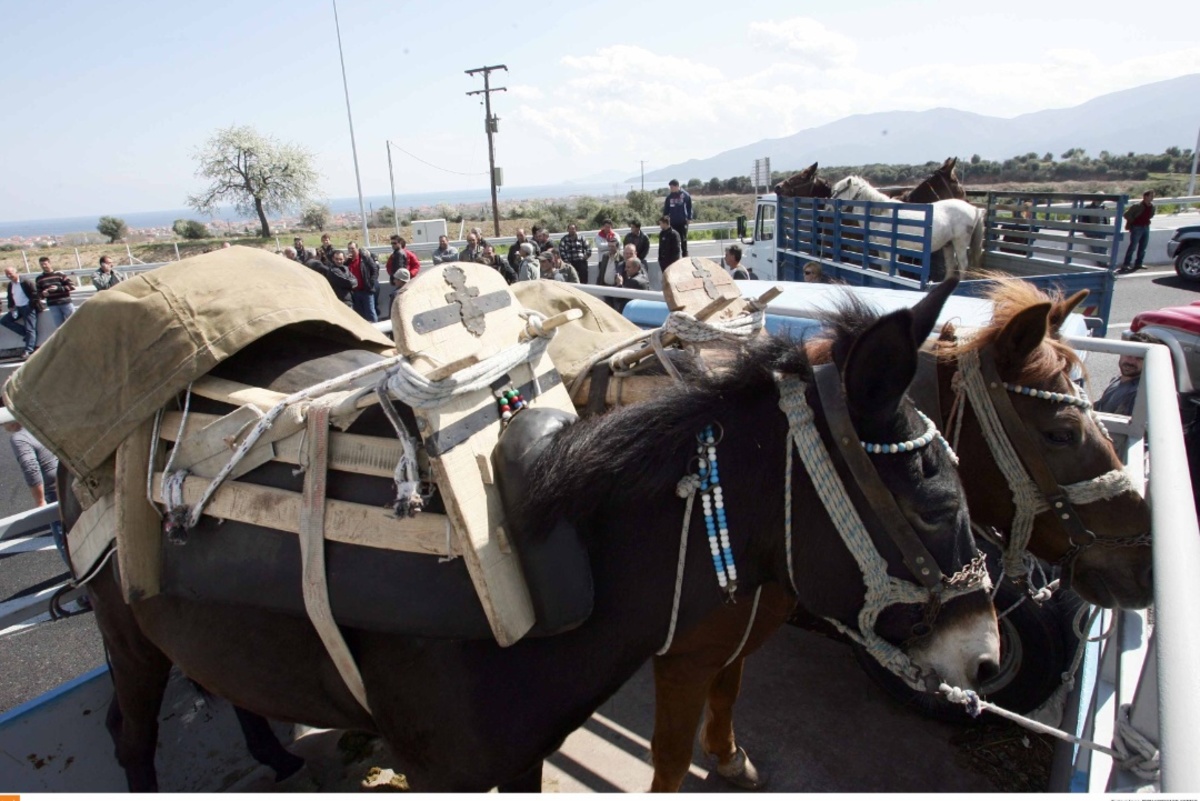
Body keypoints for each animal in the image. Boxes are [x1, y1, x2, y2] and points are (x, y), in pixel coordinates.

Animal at [830, 173, 988, 278]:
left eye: (839, 190)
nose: (829, 206)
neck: (882, 213)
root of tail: (974, 209)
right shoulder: (881, 249)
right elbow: (884, 269)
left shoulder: (892, 250)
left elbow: (893, 271)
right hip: (948, 244)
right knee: (951, 266)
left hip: (960, 243)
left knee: (962, 265)